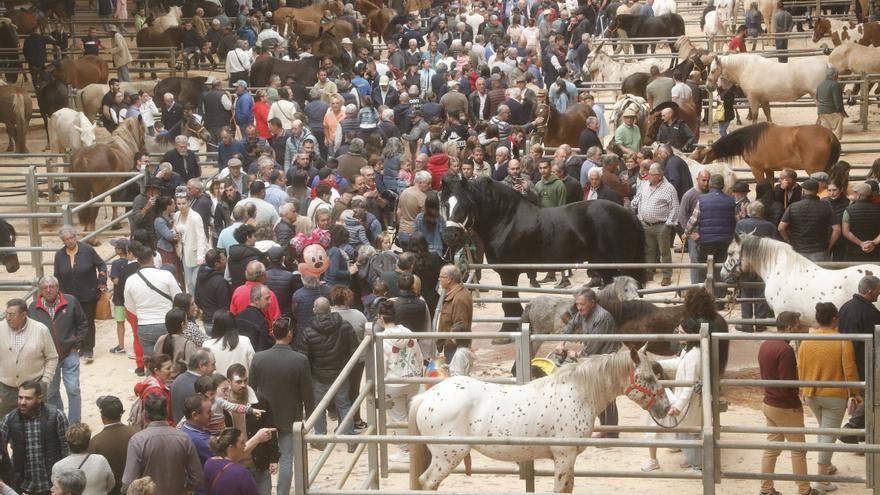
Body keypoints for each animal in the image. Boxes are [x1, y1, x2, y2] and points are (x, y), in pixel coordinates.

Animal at [410, 346, 672, 494]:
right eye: (648, 377)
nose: (666, 407)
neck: (578, 392)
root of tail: (426, 397)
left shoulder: (569, 458)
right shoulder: (564, 456)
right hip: (447, 457)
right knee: (428, 483)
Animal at [440, 176, 648, 332]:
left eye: (466, 204)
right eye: (445, 205)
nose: (450, 236)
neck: (506, 220)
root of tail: (630, 216)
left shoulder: (508, 272)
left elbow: (509, 302)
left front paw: (507, 331)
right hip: (605, 267)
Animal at [692, 123, 844, 185]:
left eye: (702, 153)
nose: (692, 156)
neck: (748, 140)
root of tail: (830, 136)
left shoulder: (757, 170)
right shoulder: (769, 170)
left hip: (815, 171)